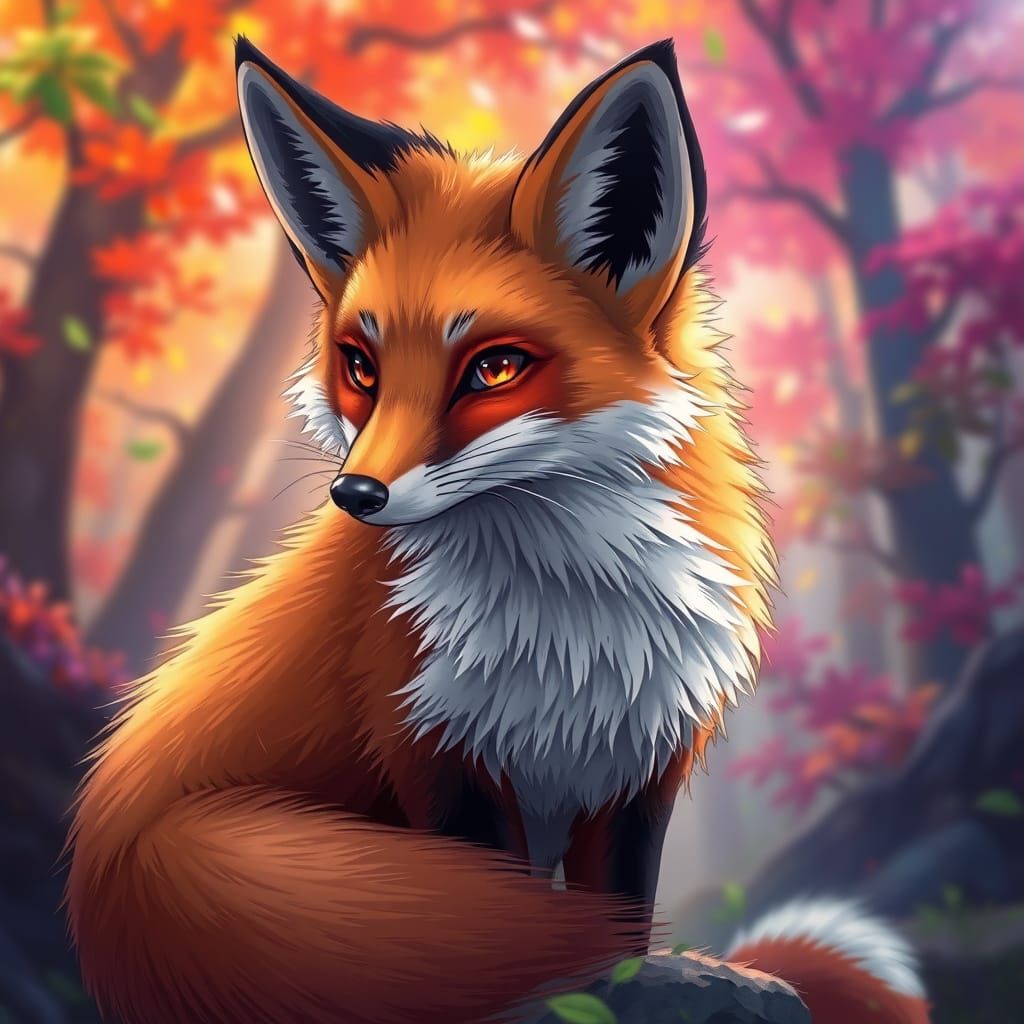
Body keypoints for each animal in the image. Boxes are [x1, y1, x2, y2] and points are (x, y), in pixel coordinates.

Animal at [66, 37, 929, 1024]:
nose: (354, 494)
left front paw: (635, 985)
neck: (569, 629)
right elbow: (524, 943)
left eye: (495, 369)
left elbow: (619, 926)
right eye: (360, 365)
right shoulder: (438, 756)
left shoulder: (639, 767)